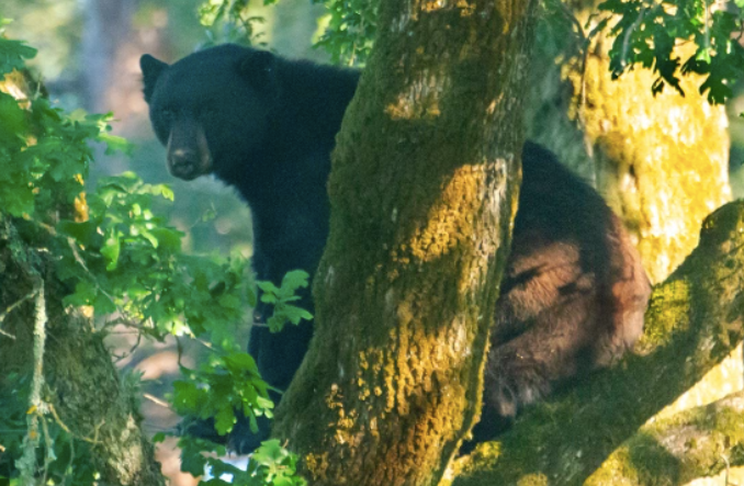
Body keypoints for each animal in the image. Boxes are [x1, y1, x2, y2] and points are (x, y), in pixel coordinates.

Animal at [140, 44, 651, 450]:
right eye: (167, 112)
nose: (182, 159)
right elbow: (272, 291)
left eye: (210, 109)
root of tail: (629, 297)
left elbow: (300, 293)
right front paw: (209, 421)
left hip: (524, 289)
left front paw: (249, 426)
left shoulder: (315, 189)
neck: (276, 144)